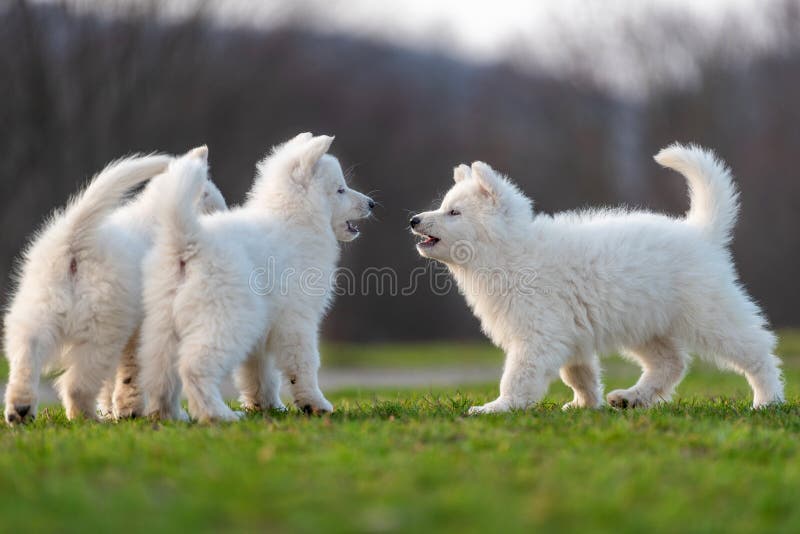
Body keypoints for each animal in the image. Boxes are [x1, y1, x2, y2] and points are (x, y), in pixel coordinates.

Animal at [2, 149, 225, 426]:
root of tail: (75, 240)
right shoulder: (145, 332)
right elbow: (137, 377)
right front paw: (137, 412)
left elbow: (115, 382)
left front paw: (116, 411)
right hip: (102, 332)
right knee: (76, 385)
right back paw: (88, 419)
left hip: (34, 316)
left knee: (25, 363)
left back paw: (20, 411)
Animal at [139, 134, 374, 422]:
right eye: (341, 190)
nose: (372, 204)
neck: (296, 219)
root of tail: (188, 242)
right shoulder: (297, 319)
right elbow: (304, 364)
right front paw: (315, 404)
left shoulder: (265, 328)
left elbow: (259, 372)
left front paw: (267, 406)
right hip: (229, 319)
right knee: (194, 367)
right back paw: (218, 414)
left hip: (163, 325)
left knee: (159, 372)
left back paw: (168, 416)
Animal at [416, 144, 784, 412]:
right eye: (445, 206)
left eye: (454, 212)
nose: (413, 220)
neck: (511, 252)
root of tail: (699, 232)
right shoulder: (569, 335)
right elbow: (578, 374)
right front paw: (585, 405)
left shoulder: (537, 335)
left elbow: (518, 377)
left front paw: (499, 407)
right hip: (645, 323)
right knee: (672, 363)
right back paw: (632, 397)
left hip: (711, 316)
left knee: (756, 351)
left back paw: (767, 400)